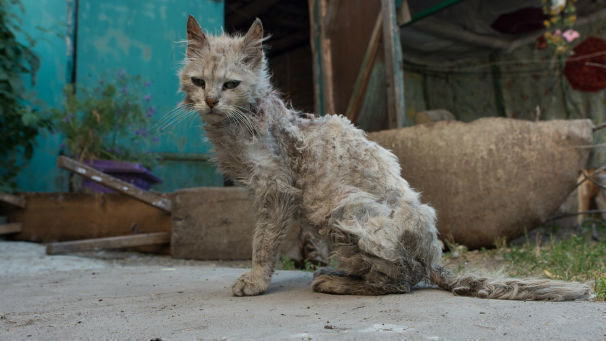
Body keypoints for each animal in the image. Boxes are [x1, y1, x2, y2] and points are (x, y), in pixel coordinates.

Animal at [179, 16, 592, 300]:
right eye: (199, 82)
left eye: (231, 84)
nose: (211, 101)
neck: (242, 120)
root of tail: (434, 261)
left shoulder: (277, 190)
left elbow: (263, 241)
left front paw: (255, 281)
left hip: (341, 208)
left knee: (398, 281)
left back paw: (334, 281)